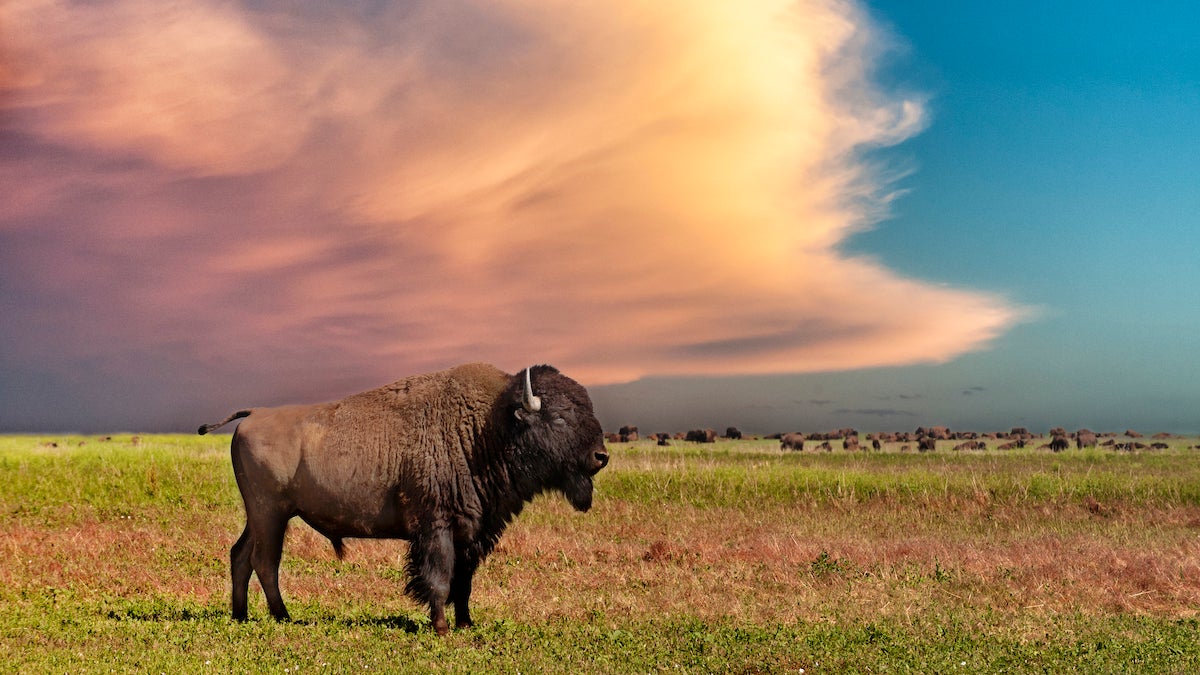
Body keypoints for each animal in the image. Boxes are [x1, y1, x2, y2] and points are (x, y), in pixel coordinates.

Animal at [198, 363, 609, 634]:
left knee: (240, 555)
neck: (487, 427)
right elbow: (440, 579)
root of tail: (254, 414)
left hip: (261, 517)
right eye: (559, 417)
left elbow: (464, 583)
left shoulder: (472, 533)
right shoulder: (437, 528)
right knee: (265, 561)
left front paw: (466, 624)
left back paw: (241, 615)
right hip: (272, 515)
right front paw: (442, 628)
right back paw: (283, 616)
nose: (600, 456)